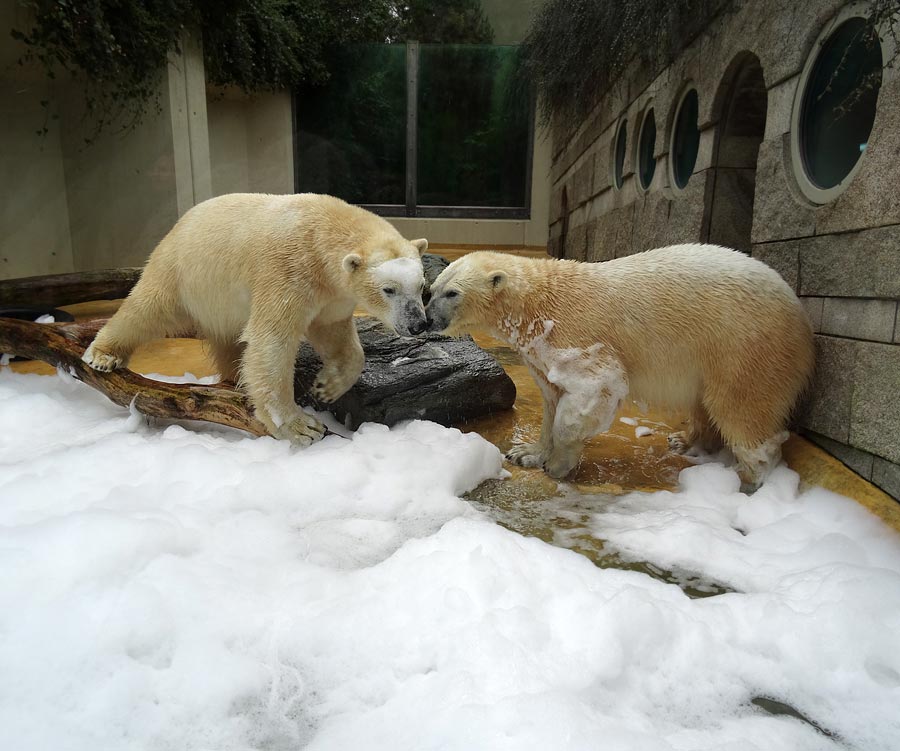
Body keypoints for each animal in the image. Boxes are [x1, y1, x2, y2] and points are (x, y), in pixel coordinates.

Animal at [81, 191, 428, 446]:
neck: (321, 231)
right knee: (148, 308)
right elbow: (272, 341)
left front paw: (325, 388)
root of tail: (181, 221)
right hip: (182, 270)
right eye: (389, 289)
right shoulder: (288, 271)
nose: (417, 324)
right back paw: (103, 354)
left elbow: (334, 334)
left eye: (421, 285)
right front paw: (300, 426)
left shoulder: (332, 294)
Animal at [428, 244, 816, 484]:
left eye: (452, 293)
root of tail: (800, 314)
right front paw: (526, 453)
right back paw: (683, 440)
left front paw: (559, 464)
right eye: (431, 289)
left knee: (741, 409)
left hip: (743, 346)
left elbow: (591, 388)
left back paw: (747, 480)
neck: (536, 302)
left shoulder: (578, 336)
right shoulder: (541, 350)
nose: (427, 319)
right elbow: (551, 399)